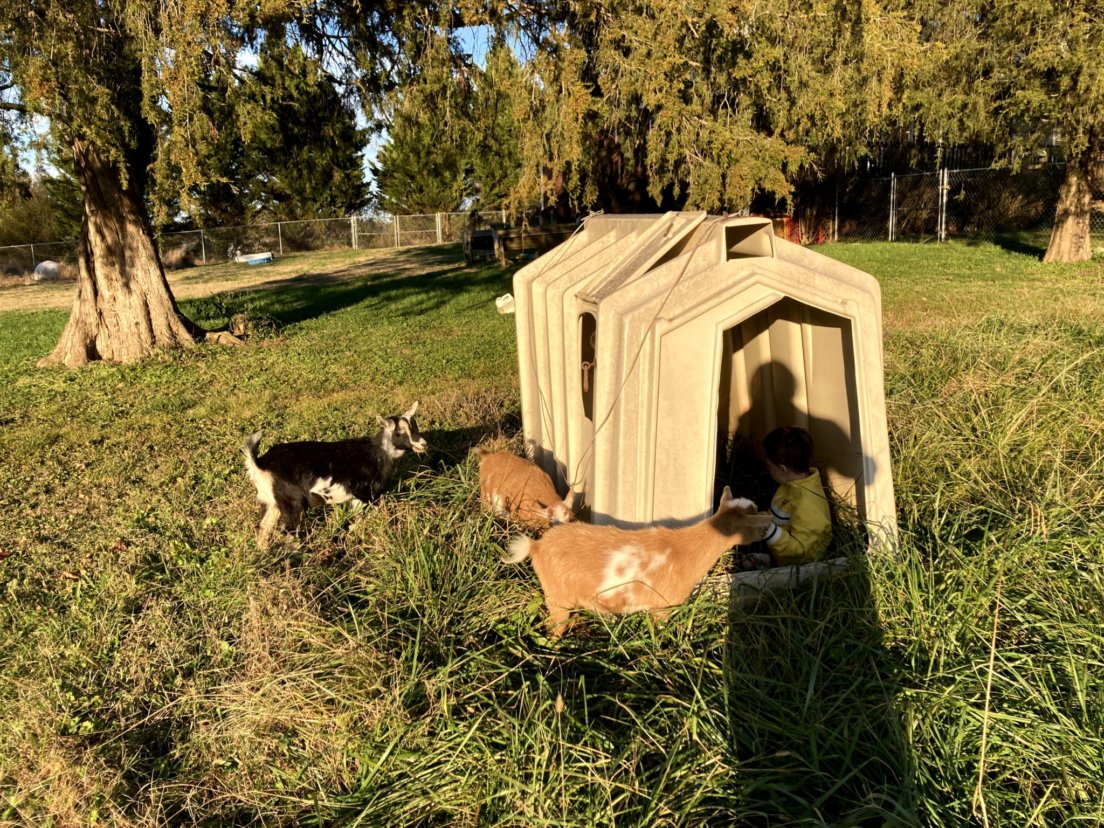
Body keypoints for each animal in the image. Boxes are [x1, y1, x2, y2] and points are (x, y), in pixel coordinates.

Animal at [243, 402, 428, 548]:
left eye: (415, 427)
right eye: (399, 433)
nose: (423, 444)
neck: (378, 454)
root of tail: (259, 463)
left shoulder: (355, 498)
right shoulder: (365, 495)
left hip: (273, 502)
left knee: (263, 527)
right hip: (292, 501)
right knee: (288, 531)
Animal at [505, 487, 773, 639]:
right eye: (757, 523)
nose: (769, 526)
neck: (686, 550)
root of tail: (536, 546)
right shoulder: (662, 608)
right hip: (557, 597)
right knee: (553, 628)